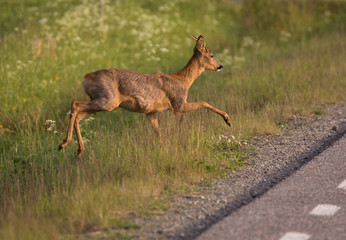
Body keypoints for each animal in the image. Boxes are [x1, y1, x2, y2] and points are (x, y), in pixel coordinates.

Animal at [58, 34, 231, 158]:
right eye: (212, 55)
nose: (220, 66)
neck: (183, 80)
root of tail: (85, 78)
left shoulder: (150, 112)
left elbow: (158, 133)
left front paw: (162, 150)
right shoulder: (178, 104)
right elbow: (203, 102)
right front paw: (227, 119)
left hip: (100, 101)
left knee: (78, 113)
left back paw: (78, 151)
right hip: (108, 100)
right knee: (75, 105)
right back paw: (64, 143)